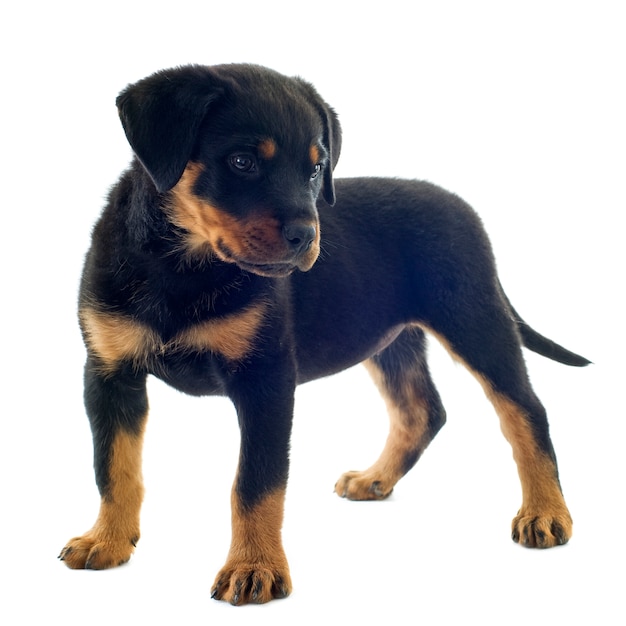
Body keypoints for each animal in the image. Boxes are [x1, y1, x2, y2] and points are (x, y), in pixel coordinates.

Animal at [57, 62, 584, 600]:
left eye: (315, 169)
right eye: (242, 161)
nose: (307, 236)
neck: (180, 264)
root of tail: (464, 209)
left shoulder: (266, 380)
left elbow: (256, 483)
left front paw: (255, 568)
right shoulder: (108, 374)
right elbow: (114, 467)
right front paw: (107, 540)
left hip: (474, 317)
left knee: (525, 409)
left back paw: (546, 513)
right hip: (391, 338)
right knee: (422, 410)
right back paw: (375, 479)